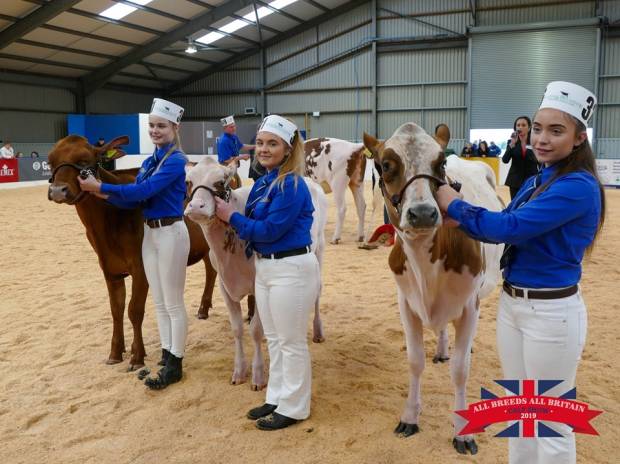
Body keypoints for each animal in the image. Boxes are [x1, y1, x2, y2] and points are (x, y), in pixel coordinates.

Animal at [184, 158, 330, 390]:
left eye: (220, 181)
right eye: (189, 181)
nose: (196, 207)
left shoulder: (258, 285)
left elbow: (256, 330)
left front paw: (258, 376)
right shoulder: (224, 285)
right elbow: (237, 329)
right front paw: (238, 371)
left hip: (319, 250)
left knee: (317, 292)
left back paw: (317, 331)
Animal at [364, 122, 504, 454]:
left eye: (440, 164)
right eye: (385, 165)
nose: (424, 213)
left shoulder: (470, 304)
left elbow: (461, 369)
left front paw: (463, 432)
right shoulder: (406, 302)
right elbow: (415, 362)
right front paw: (410, 417)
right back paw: (441, 348)